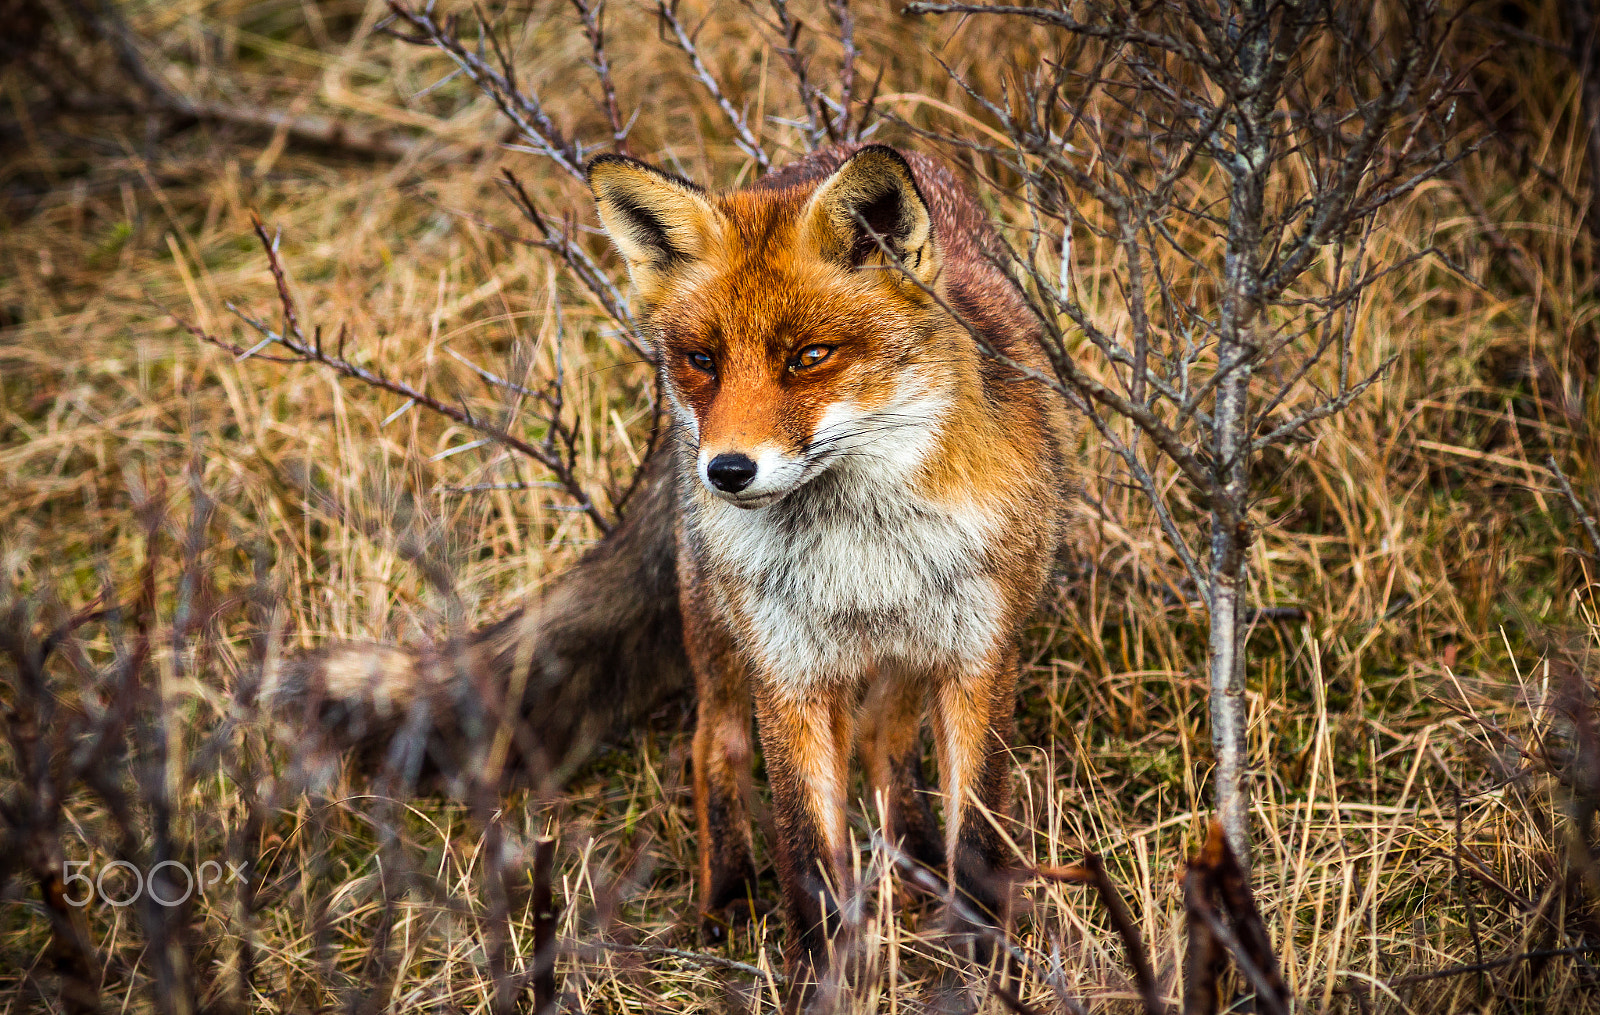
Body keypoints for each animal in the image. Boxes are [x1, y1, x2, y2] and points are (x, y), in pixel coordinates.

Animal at [275, 143, 1076, 985]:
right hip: (724, 636)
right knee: (713, 744)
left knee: (883, 742)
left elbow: (979, 835)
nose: (724, 471)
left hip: (904, 653)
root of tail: (808, 155)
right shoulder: (788, 675)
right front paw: (820, 978)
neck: (861, 549)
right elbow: (807, 853)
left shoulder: (979, 660)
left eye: (809, 357)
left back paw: (916, 859)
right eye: (702, 361)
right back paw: (725, 895)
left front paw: (985, 962)